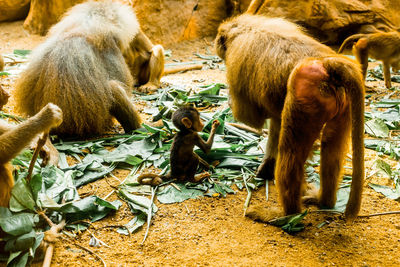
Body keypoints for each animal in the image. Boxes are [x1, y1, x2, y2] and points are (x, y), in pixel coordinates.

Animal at [216, 13, 366, 221]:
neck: (243, 29)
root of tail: (327, 63)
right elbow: (275, 120)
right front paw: (266, 168)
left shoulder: (237, 61)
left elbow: (251, 117)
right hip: (343, 103)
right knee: (331, 150)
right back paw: (324, 201)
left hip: (303, 93)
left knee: (291, 156)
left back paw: (284, 214)